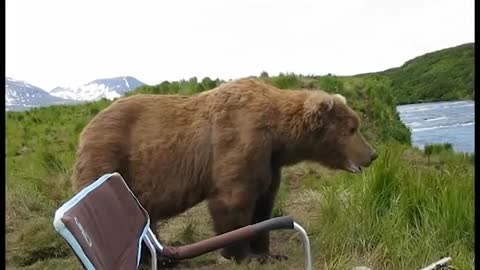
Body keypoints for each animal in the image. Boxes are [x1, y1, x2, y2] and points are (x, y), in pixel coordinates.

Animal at [72, 78, 378, 264]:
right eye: (352, 129)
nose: (372, 155)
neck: (278, 136)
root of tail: (86, 129)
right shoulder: (239, 142)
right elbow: (233, 202)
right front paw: (240, 254)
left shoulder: (269, 162)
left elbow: (264, 204)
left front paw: (266, 252)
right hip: (110, 158)